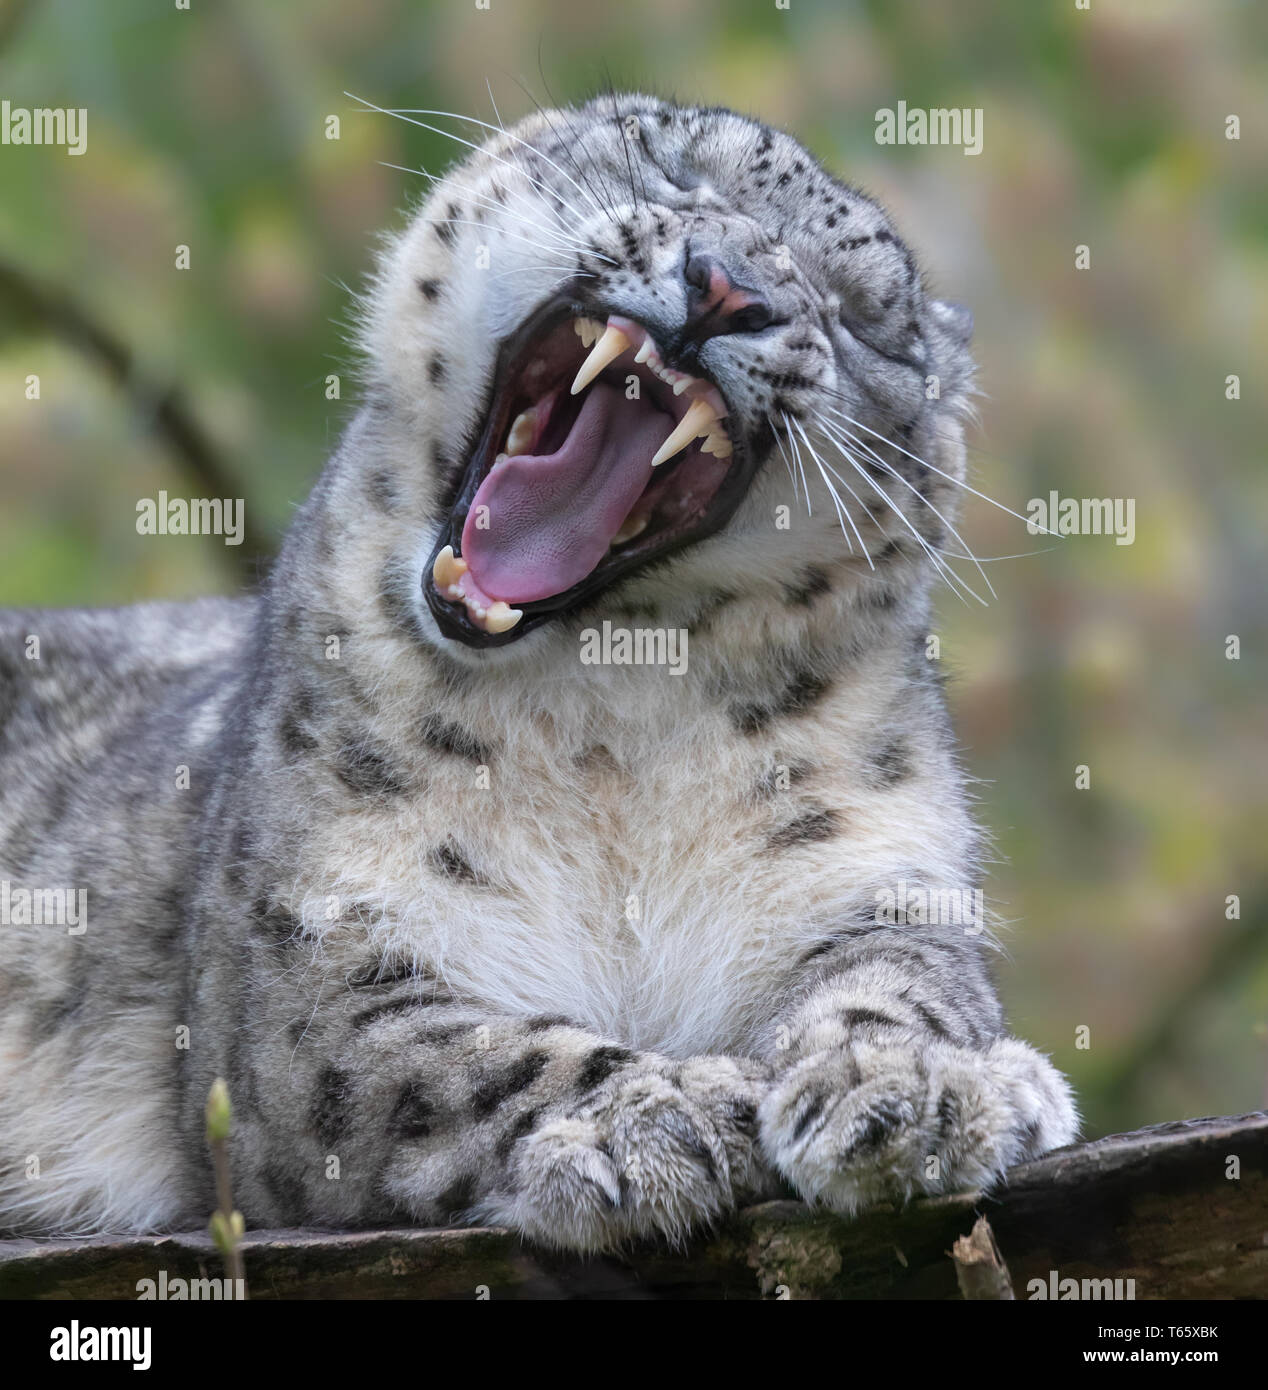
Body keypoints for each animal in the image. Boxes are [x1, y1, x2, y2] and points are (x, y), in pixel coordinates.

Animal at [0, 97, 1078, 1251]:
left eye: (862, 315)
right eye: (677, 168)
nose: (727, 287)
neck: (608, 722)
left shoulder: (871, 876)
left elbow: (901, 985)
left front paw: (916, 1087)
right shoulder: (311, 962)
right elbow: (464, 1056)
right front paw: (663, 1110)